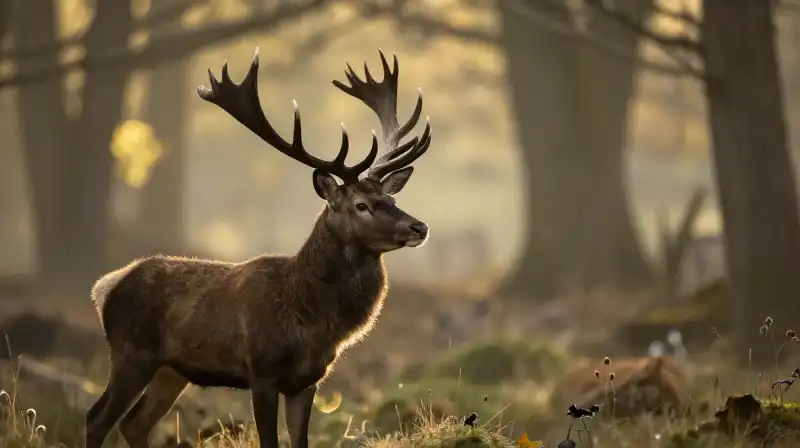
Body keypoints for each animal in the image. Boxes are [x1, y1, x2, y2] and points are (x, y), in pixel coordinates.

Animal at [84, 48, 432, 448]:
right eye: (361, 204)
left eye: (390, 198)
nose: (419, 227)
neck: (312, 320)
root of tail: (105, 286)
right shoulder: (261, 372)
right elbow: (269, 440)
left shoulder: (307, 381)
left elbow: (300, 442)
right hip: (131, 352)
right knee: (97, 418)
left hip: (172, 370)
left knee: (134, 423)